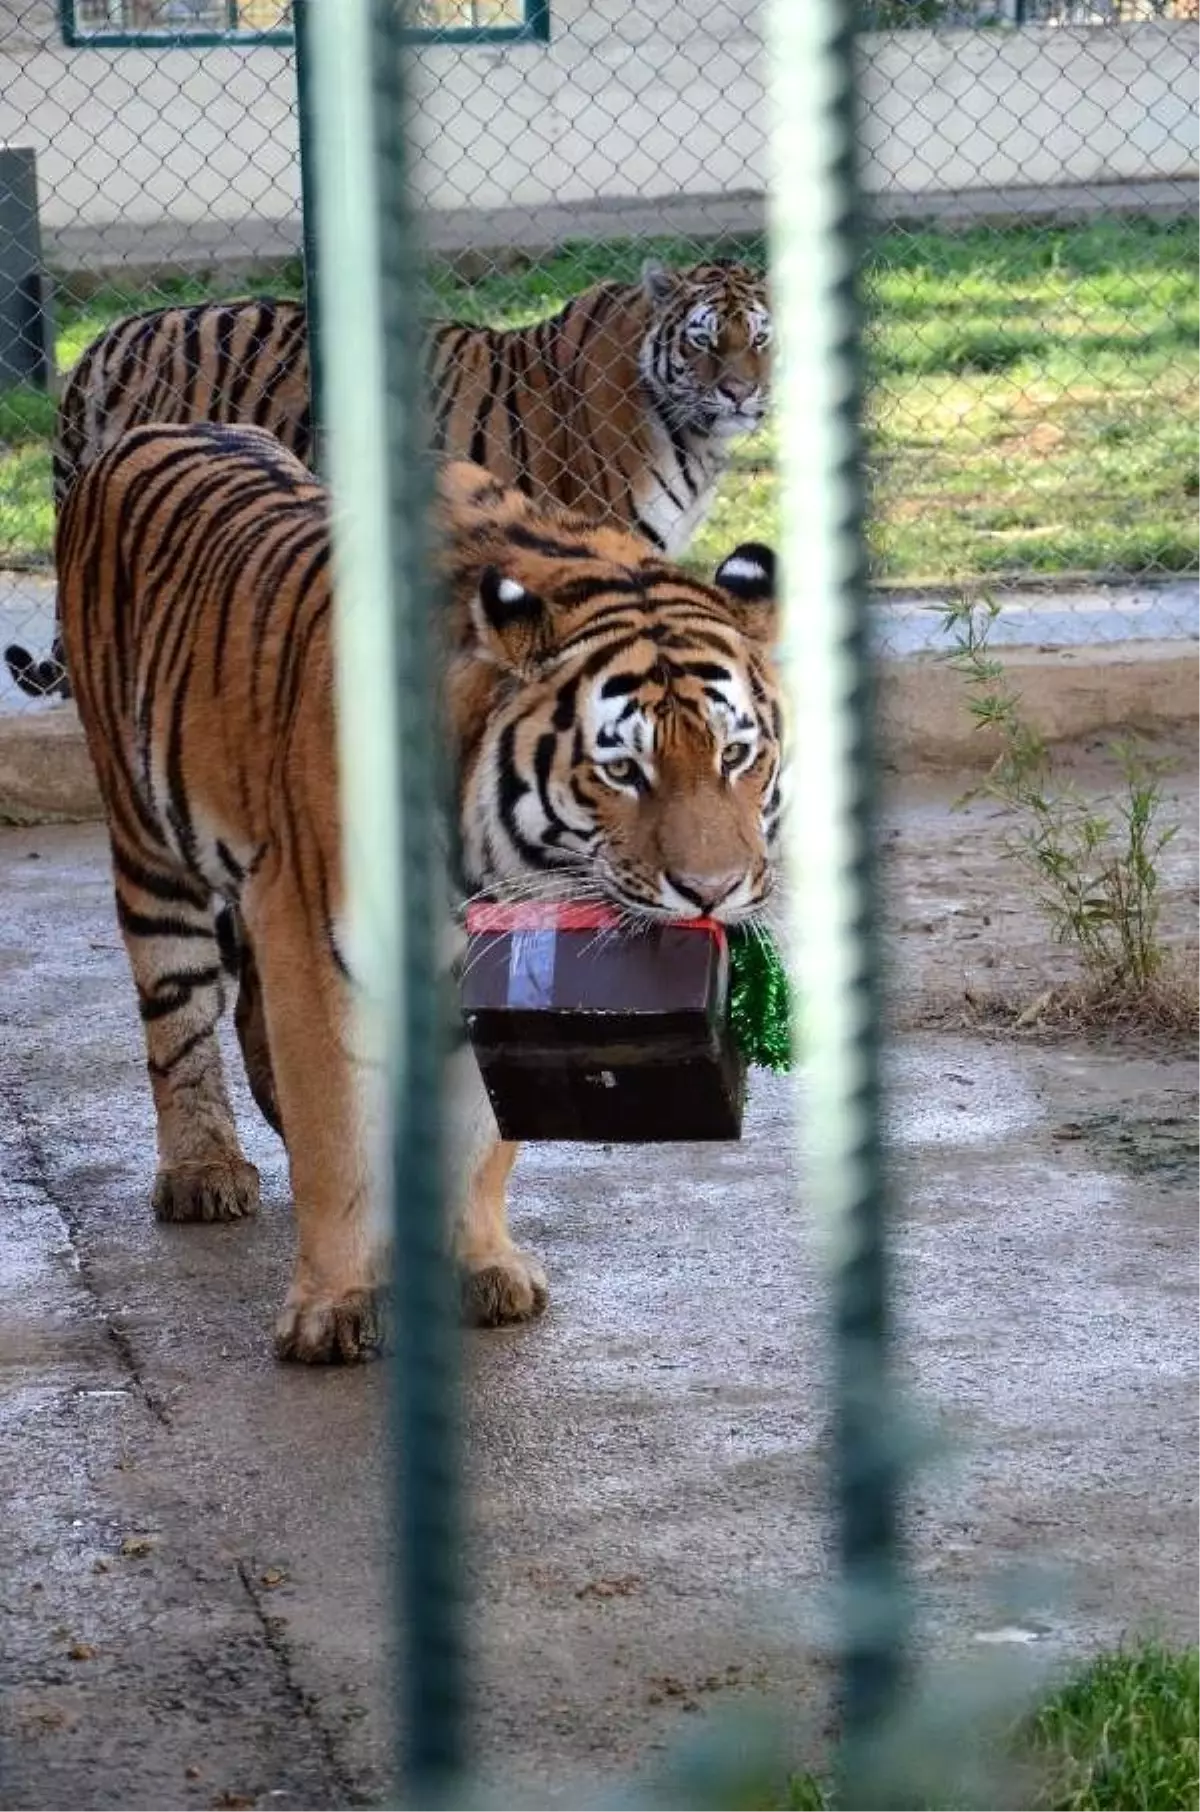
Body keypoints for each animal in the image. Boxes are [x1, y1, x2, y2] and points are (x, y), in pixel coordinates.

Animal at [61, 420, 786, 1362]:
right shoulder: (315, 943)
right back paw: (203, 1171)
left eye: (736, 756)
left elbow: (480, 1138)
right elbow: (336, 1133)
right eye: (622, 770)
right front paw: (333, 1310)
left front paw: (485, 1269)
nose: (713, 890)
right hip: (150, 847)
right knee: (178, 1013)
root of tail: (156, 428)